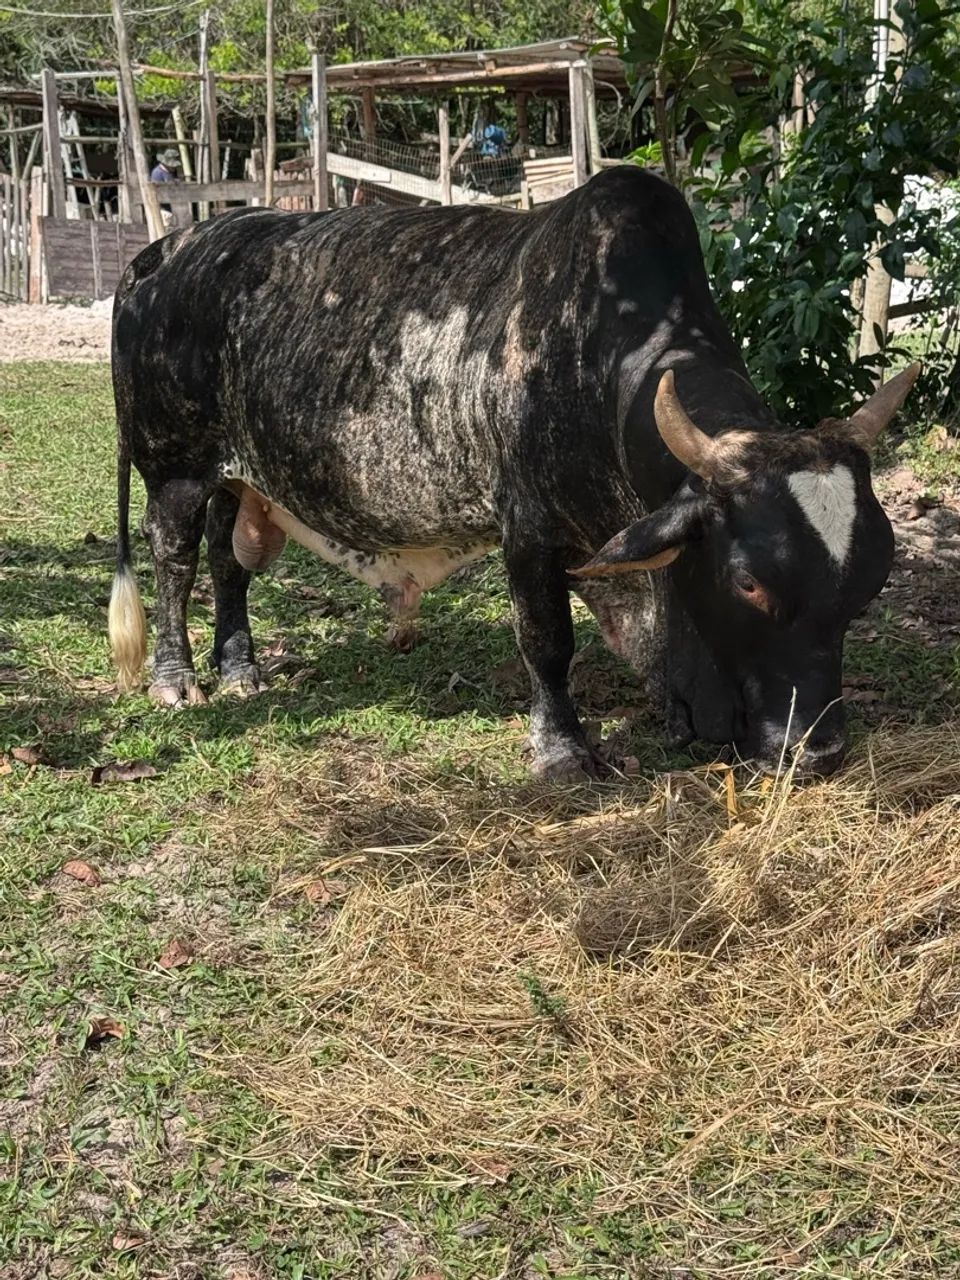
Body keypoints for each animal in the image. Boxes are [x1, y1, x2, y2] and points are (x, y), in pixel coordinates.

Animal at [108, 166, 918, 779]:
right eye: (748, 583)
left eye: (870, 581)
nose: (817, 751)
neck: (601, 358)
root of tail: (158, 253)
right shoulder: (527, 531)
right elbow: (547, 642)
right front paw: (563, 752)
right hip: (174, 469)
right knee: (175, 559)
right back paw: (178, 680)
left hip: (237, 476)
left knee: (229, 562)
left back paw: (240, 669)